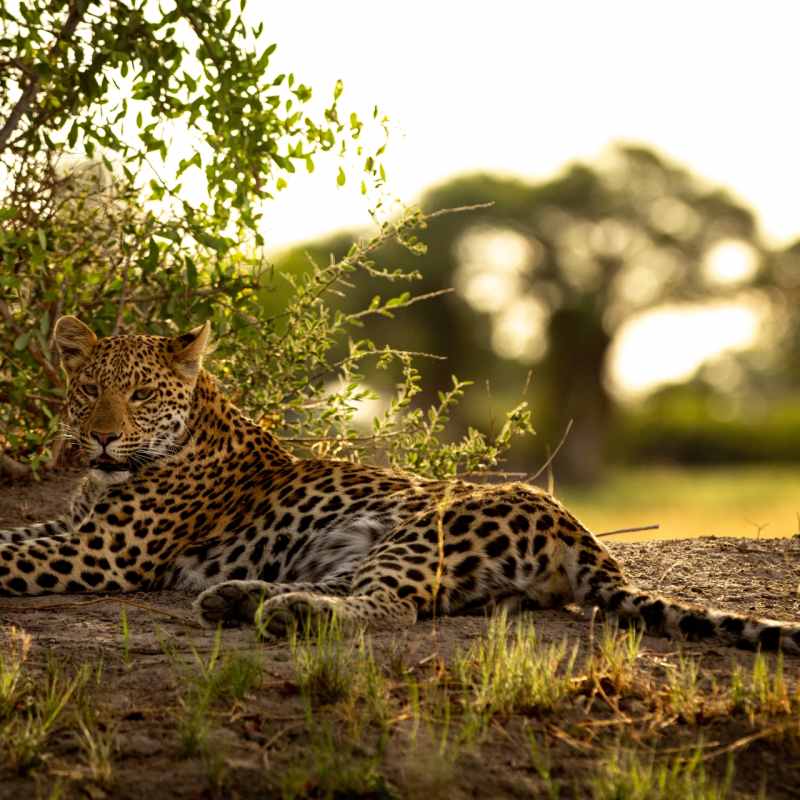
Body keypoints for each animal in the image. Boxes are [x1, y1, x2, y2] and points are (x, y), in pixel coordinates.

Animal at [1, 315, 799, 655]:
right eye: (89, 390)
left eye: (139, 395)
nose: (103, 436)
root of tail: (582, 536)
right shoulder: (71, 530)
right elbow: (13, 533)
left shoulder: (102, 553)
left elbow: (8, 553)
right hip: (376, 549)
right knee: (375, 595)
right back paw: (239, 597)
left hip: (426, 527)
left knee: (394, 608)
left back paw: (280, 611)